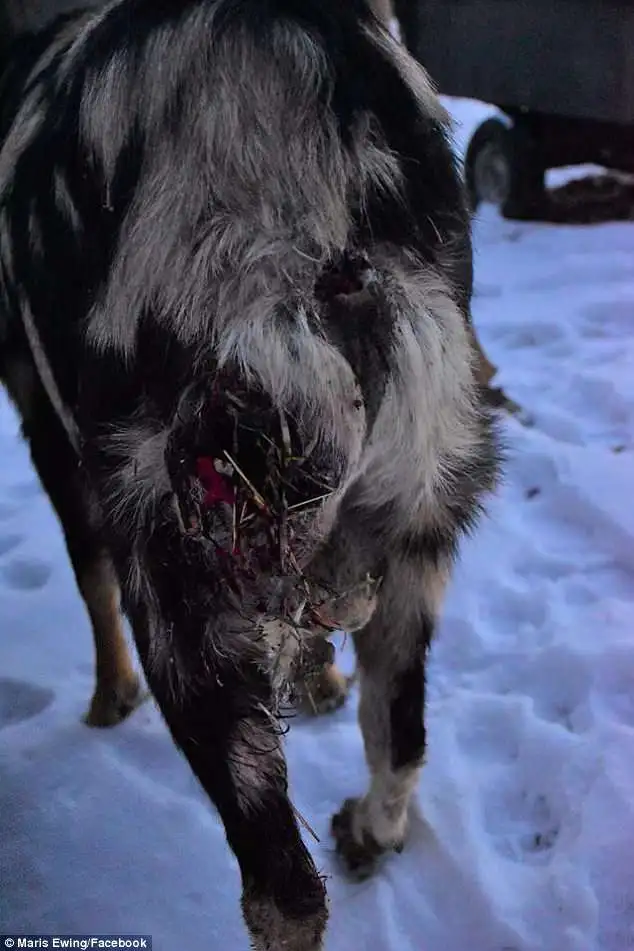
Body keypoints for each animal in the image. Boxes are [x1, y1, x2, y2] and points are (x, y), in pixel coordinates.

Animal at [0, 3, 502, 948]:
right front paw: (321, 682)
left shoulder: (48, 427)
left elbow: (88, 579)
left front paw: (107, 701)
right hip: (422, 504)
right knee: (401, 733)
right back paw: (366, 827)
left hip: (179, 571)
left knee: (285, 892)